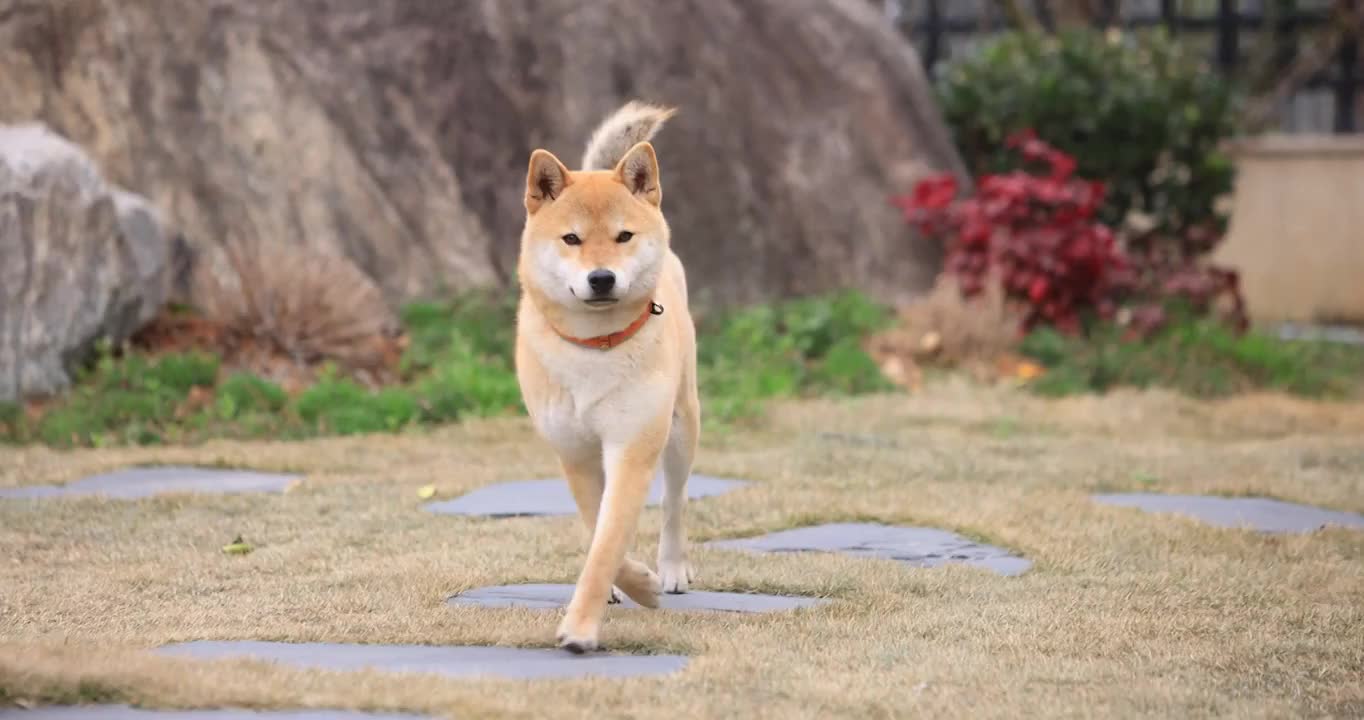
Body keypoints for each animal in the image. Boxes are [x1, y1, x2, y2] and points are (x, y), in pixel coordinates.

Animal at [512, 100, 698, 651]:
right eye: (571, 239)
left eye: (623, 236)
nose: (601, 278)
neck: (595, 349)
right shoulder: (575, 452)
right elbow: (598, 529)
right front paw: (629, 583)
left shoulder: (632, 444)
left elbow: (608, 540)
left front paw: (581, 627)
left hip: (682, 426)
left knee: (675, 500)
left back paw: (671, 569)